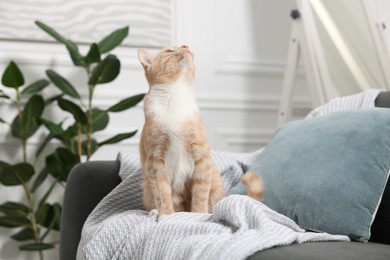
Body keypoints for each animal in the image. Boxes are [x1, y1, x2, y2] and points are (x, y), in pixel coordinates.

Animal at [137, 45, 262, 219]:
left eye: (182, 46)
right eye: (169, 51)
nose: (185, 46)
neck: (175, 95)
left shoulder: (201, 155)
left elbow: (200, 192)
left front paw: (198, 214)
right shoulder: (156, 160)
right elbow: (162, 192)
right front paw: (166, 214)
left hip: (214, 178)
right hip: (147, 186)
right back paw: (156, 211)